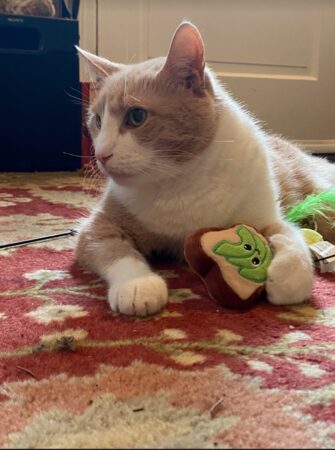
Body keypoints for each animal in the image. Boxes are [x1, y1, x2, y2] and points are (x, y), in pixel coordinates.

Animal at [75, 21, 335, 316]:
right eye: (97, 120)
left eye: (137, 116)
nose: (101, 154)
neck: (180, 180)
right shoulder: (97, 226)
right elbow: (115, 251)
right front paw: (138, 284)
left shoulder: (267, 219)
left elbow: (290, 238)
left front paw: (287, 280)